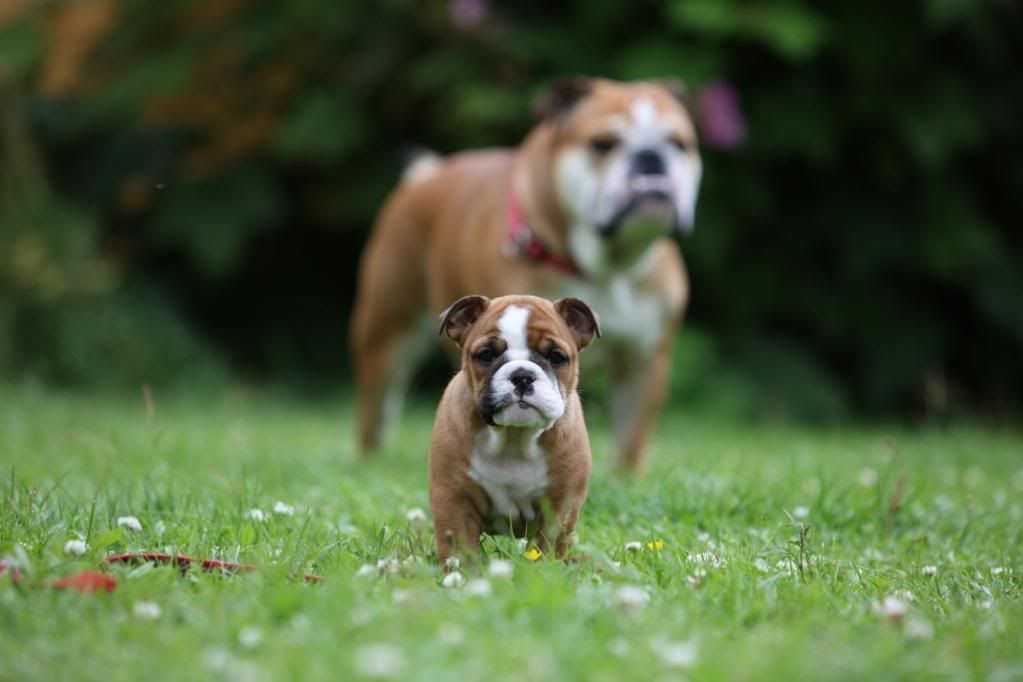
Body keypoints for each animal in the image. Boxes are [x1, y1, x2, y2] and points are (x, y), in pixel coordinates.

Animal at [353, 73, 703, 470]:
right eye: (603, 144)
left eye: (680, 144)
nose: (650, 158)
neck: (602, 268)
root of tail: (426, 175)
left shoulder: (644, 363)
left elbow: (631, 441)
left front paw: (627, 478)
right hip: (386, 332)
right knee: (377, 406)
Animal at [425, 294, 597, 564]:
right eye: (485, 355)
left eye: (556, 357)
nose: (522, 375)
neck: (514, 437)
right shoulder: (453, 500)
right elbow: (460, 551)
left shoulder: (560, 505)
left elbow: (548, 546)